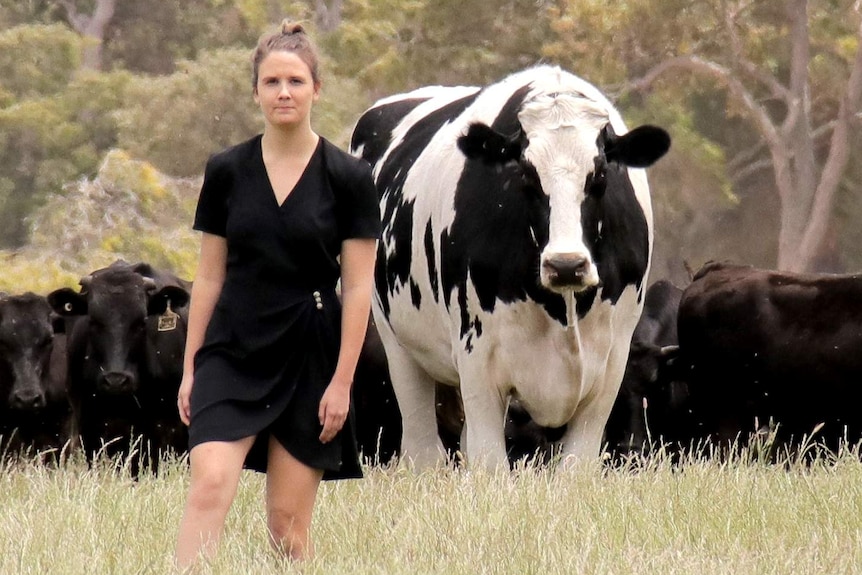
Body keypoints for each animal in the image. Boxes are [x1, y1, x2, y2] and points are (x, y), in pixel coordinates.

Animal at [352, 65, 676, 468]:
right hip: (397, 342)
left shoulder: (612, 363)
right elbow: (490, 464)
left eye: (601, 174)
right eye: (525, 174)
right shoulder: (478, 362)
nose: (566, 265)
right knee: (424, 451)